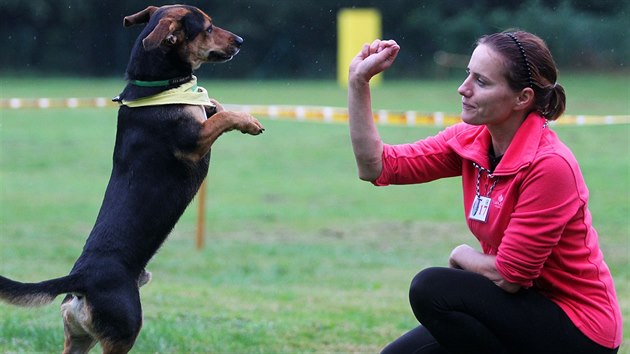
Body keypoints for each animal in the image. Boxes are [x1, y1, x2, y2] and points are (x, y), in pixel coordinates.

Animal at [0, 5, 264, 354]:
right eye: (207, 28)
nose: (241, 41)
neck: (157, 86)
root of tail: (81, 279)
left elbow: (214, 105)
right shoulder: (194, 142)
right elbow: (222, 116)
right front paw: (248, 121)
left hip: (78, 338)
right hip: (123, 331)